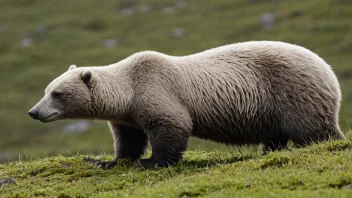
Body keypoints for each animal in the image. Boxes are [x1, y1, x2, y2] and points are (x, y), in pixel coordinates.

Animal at [28, 41, 346, 169]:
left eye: (57, 93)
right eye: (46, 90)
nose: (34, 111)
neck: (128, 91)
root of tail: (328, 69)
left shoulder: (156, 90)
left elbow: (172, 125)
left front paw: (150, 162)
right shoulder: (128, 115)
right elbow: (128, 138)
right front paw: (106, 160)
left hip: (293, 91)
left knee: (313, 128)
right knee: (277, 134)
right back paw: (269, 150)